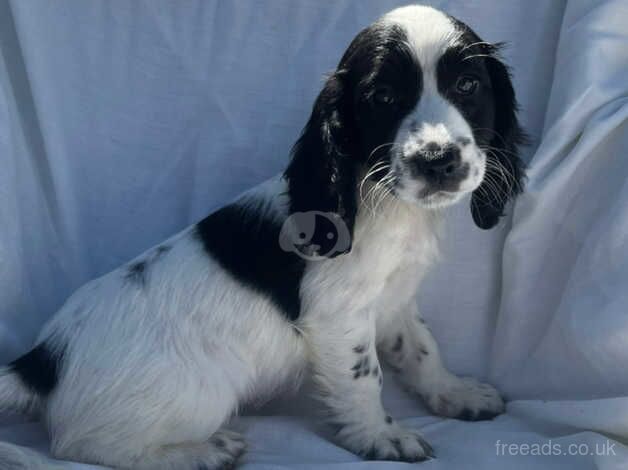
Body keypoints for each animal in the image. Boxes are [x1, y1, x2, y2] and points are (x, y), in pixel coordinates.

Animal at [0, 4, 524, 470]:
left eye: (468, 84)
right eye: (382, 97)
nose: (437, 159)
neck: (388, 204)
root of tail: (43, 361)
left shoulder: (394, 299)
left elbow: (422, 348)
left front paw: (455, 393)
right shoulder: (339, 318)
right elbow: (363, 377)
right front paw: (382, 437)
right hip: (200, 395)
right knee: (82, 447)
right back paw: (201, 453)